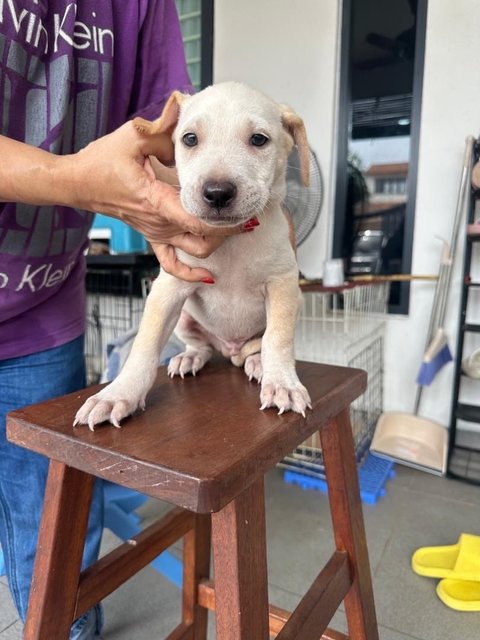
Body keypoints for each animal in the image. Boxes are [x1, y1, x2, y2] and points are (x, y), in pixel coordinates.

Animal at [76, 81, 312, 430]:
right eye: (190, 139)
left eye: (259, 139)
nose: (217, 193)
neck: (232, 242)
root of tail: (230, 348)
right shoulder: (169, 287)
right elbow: (145, 346)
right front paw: (117, 394)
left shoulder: (282, 283)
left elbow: (278, 339)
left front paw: (282, 383)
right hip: (186, 317)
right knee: (201, 346)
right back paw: (189, 357)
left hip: (295, 302)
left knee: (258, 344)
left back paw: (256, 362)